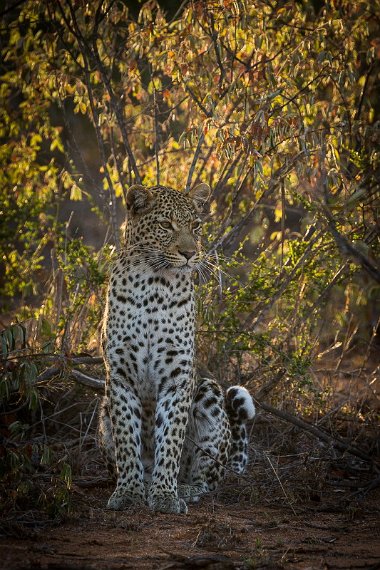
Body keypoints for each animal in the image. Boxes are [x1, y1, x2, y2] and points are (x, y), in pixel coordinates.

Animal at [98, 183, 255, 516]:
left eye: (195, 226)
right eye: (165, 225)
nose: (189, 254)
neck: (153, 286)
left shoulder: (178, 376)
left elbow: (170, 437)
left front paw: (165, 495)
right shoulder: (119, 375)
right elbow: (127, 440)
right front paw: (128, 492)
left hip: (209, 392)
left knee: (209, 479)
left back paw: (185, 488)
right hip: (102, 408)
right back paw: (144, 484)